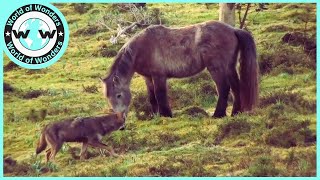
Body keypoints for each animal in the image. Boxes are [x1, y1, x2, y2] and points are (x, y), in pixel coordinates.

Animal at [101, 20, 258, 118]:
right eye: (107, 97)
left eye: (118, 95)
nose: (120, 119)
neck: (141, 48)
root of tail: (232, 29)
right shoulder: (148, 77)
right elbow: (151, 97)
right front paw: (155, 115)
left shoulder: (159, 76)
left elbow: (160, 95)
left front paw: (166, 115)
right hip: (229, 67)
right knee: (236, 87)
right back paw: (235, 113)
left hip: (216, 68)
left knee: (224, 88)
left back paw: (218, 115)